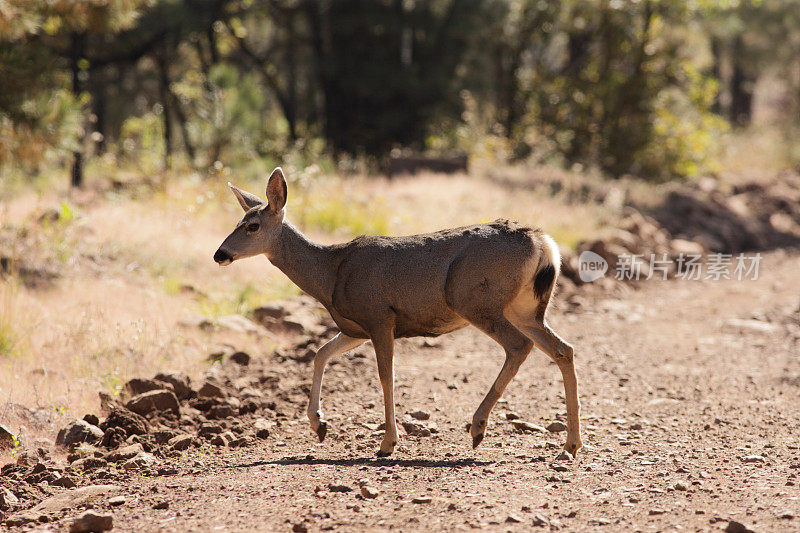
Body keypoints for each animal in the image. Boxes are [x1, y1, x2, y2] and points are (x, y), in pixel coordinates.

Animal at [212, 167, 580, 458]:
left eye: (252, 225)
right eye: (238, 221)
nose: (219, 254)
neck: (330, 273)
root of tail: (543, 243)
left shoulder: (379, 317)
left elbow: (386, 375)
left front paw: (388, 442)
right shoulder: (355, 328)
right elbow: (320, 353)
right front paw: (319, 425)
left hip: (475, 299)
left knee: (519, 346)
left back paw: (478, 427)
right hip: (526, 309)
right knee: (563, 349)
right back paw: (571, 445)